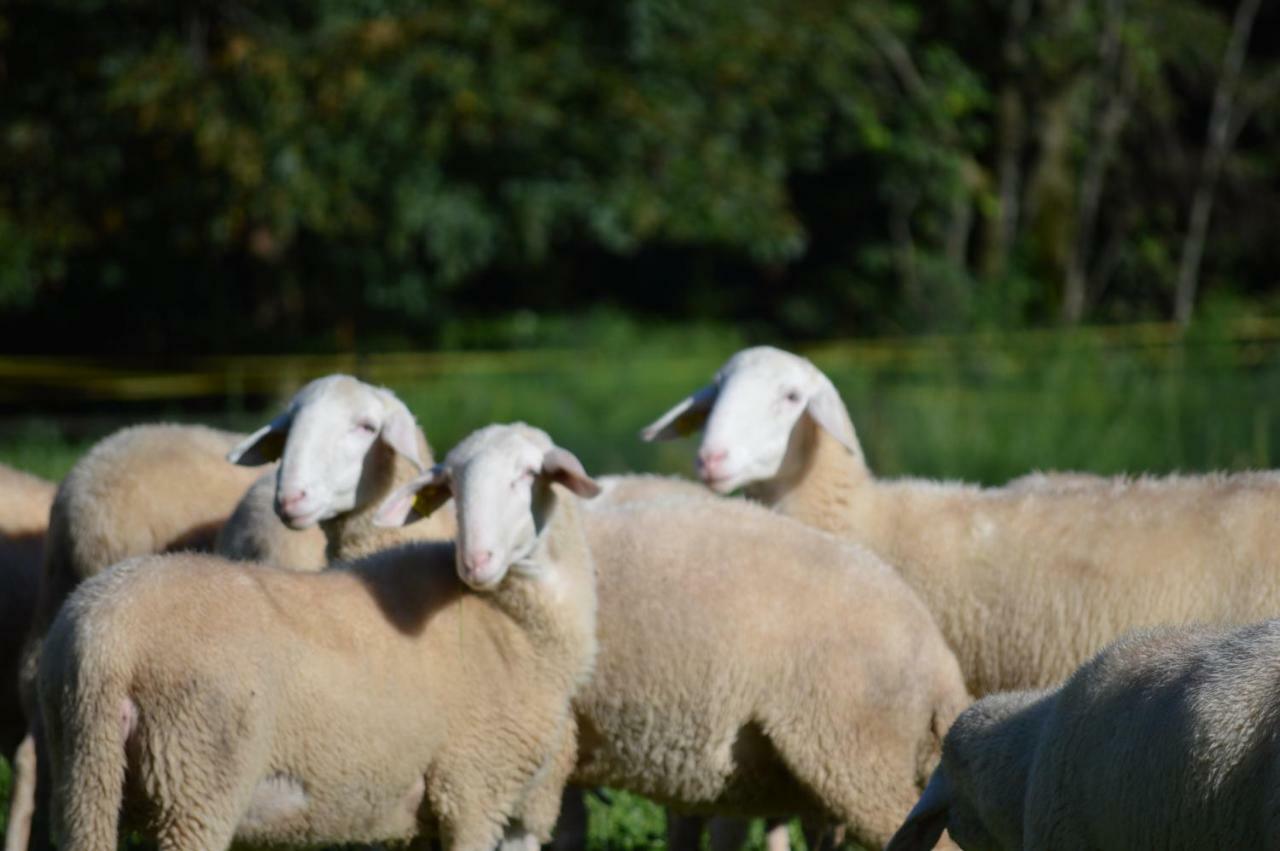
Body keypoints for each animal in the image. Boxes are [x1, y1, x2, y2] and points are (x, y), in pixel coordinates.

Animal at [40, 419, 599, 849]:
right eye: (454, 490)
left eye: (528, 476)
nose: (475, 560)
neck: (515, 622)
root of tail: (105, 639)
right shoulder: (472, 790)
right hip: (193, 775)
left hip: (83, 771)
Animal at [381, 427, 967, 849]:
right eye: (451, 488)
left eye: (526, 477)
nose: (474, 560)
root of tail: (939, 661)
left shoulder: (546, 744)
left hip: (859, 754)